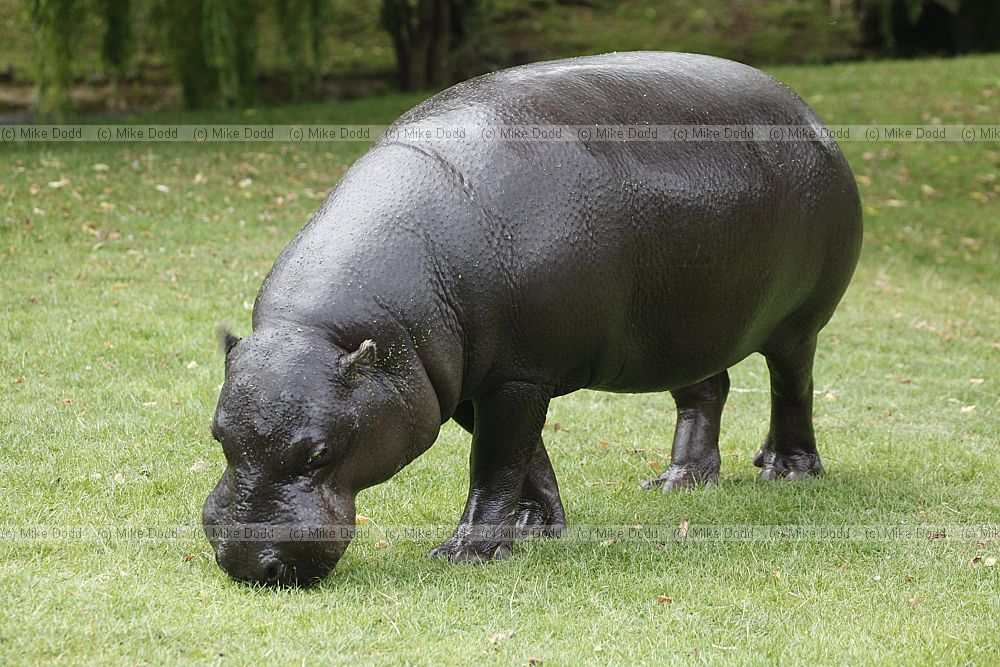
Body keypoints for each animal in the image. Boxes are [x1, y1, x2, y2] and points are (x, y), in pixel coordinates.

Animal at [202, 51, 862, 586]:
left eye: (317, 453)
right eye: (217, 435)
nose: (247, 564)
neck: (339, 334)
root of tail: (808, 113)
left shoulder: (516, 374)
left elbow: (494, 462)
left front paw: (469, 552)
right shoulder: (471, 377)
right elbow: (525, 454)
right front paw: (533, 526)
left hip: (798, 322)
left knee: (792, 385)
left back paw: (787, 472)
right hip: (689, 327)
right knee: (706, 390)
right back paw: (678, 482)